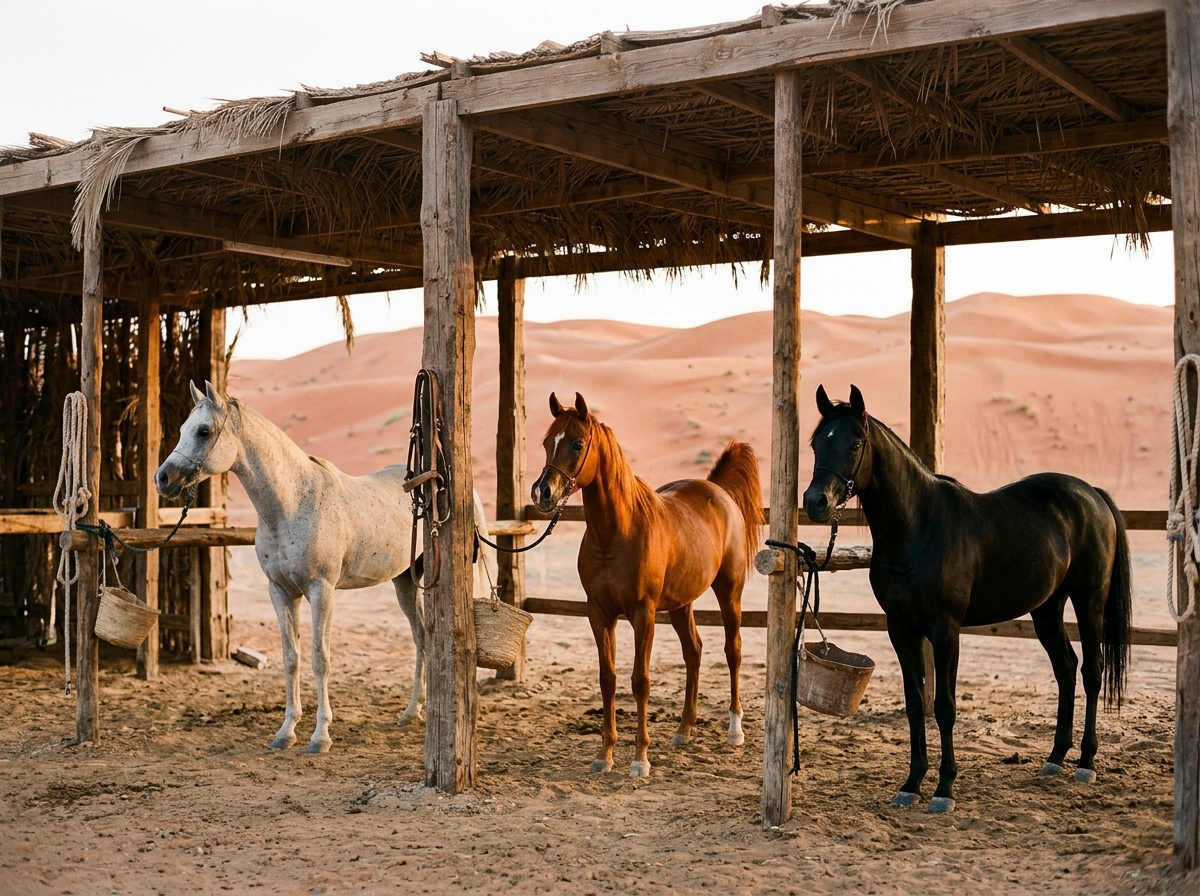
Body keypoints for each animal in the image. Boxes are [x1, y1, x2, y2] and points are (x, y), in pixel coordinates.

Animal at [155, 381, 492, 754]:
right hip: (404, 581)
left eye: (203, 431)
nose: (163, 478)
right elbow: (291, 658)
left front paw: (320, 736)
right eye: (183, 429)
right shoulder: (281, 591)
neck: (292, 504)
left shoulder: (321, 590)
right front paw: (286, 732)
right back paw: (412, 711)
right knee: (422, 637)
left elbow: (320, 659)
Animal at [531, 392, 763, 777]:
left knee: (733, 651)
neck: (616, 533)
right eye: (547, 442)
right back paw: (684, 730)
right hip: (682, 604)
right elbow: (607, 679)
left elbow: (640, 682)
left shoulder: (643, 613)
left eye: (577, 443)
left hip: (729, 592)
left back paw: (735, 730)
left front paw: (640, 760)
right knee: (694, 651)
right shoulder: (599, 614)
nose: (542, 493)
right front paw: (604, 755)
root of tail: (718, 490)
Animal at [802, 384, 1131, 813]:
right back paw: (1055, 758)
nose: (815, 502)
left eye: (855, 442)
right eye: (815, 444)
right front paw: (911, 784)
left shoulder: (946, 631)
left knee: (1092, 671)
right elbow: (915, 703)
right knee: (1066, 667)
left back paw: (1086, 763)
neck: (916, 527)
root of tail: (1093, 495)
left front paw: (944, 789)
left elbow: (944, 707)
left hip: (1089, 601)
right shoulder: (901, 628)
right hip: (1047, 607)